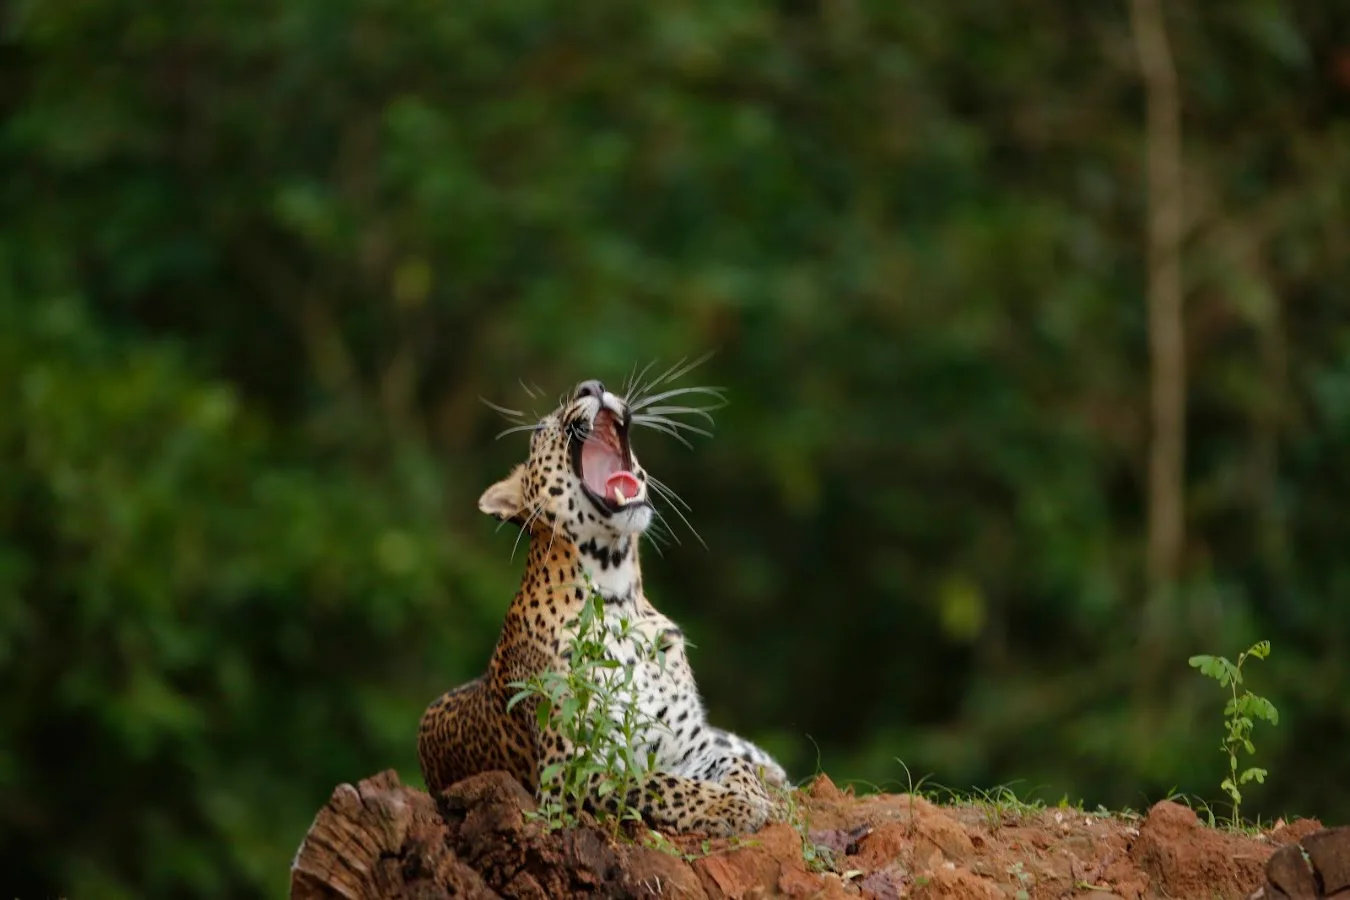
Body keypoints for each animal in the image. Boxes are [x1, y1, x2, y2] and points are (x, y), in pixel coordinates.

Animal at [417, 377, 787, 836]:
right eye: (541, 429)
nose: (591, 385)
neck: (619, 595)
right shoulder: (575, 771)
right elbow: (657, 784)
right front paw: (730, 807)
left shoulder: (689, 746)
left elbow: (733, 763)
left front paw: (756, 797)